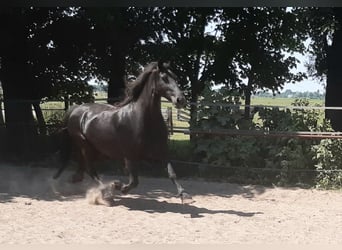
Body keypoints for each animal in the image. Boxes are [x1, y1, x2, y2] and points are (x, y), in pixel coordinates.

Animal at [53, 61, 192, 204]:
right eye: (164, 78)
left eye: (175, 77)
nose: (181, 100)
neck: (143, 119)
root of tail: (76, 108)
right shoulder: (130, 155)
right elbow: (134, 181)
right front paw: (119, 186)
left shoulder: (161, 151)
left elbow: (171, 172)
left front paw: (184, 195)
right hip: (86, 145)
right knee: (91, 169)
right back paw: (107, 193)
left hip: (97, 149)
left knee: (84, 167)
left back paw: (76, 179)